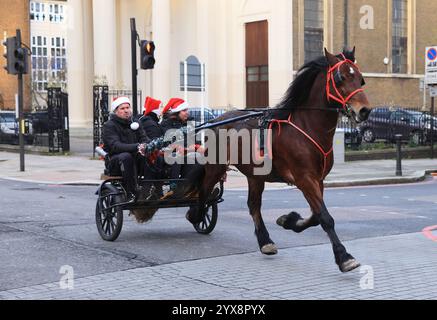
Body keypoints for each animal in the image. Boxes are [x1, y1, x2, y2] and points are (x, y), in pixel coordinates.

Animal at [188, 48, 372, 272]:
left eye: (360, 79)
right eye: (341, 78)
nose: (364, 110)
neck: (306, 126)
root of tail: (216, 120)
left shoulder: (317, 179)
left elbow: (315, 215)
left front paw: (289, 220)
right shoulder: (304, 178)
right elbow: (325, 217)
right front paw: (343, 256)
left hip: (255, 174)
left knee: (253, 205)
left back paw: (264, 240)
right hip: (216, 166)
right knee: (204, 189)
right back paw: (197, 215)